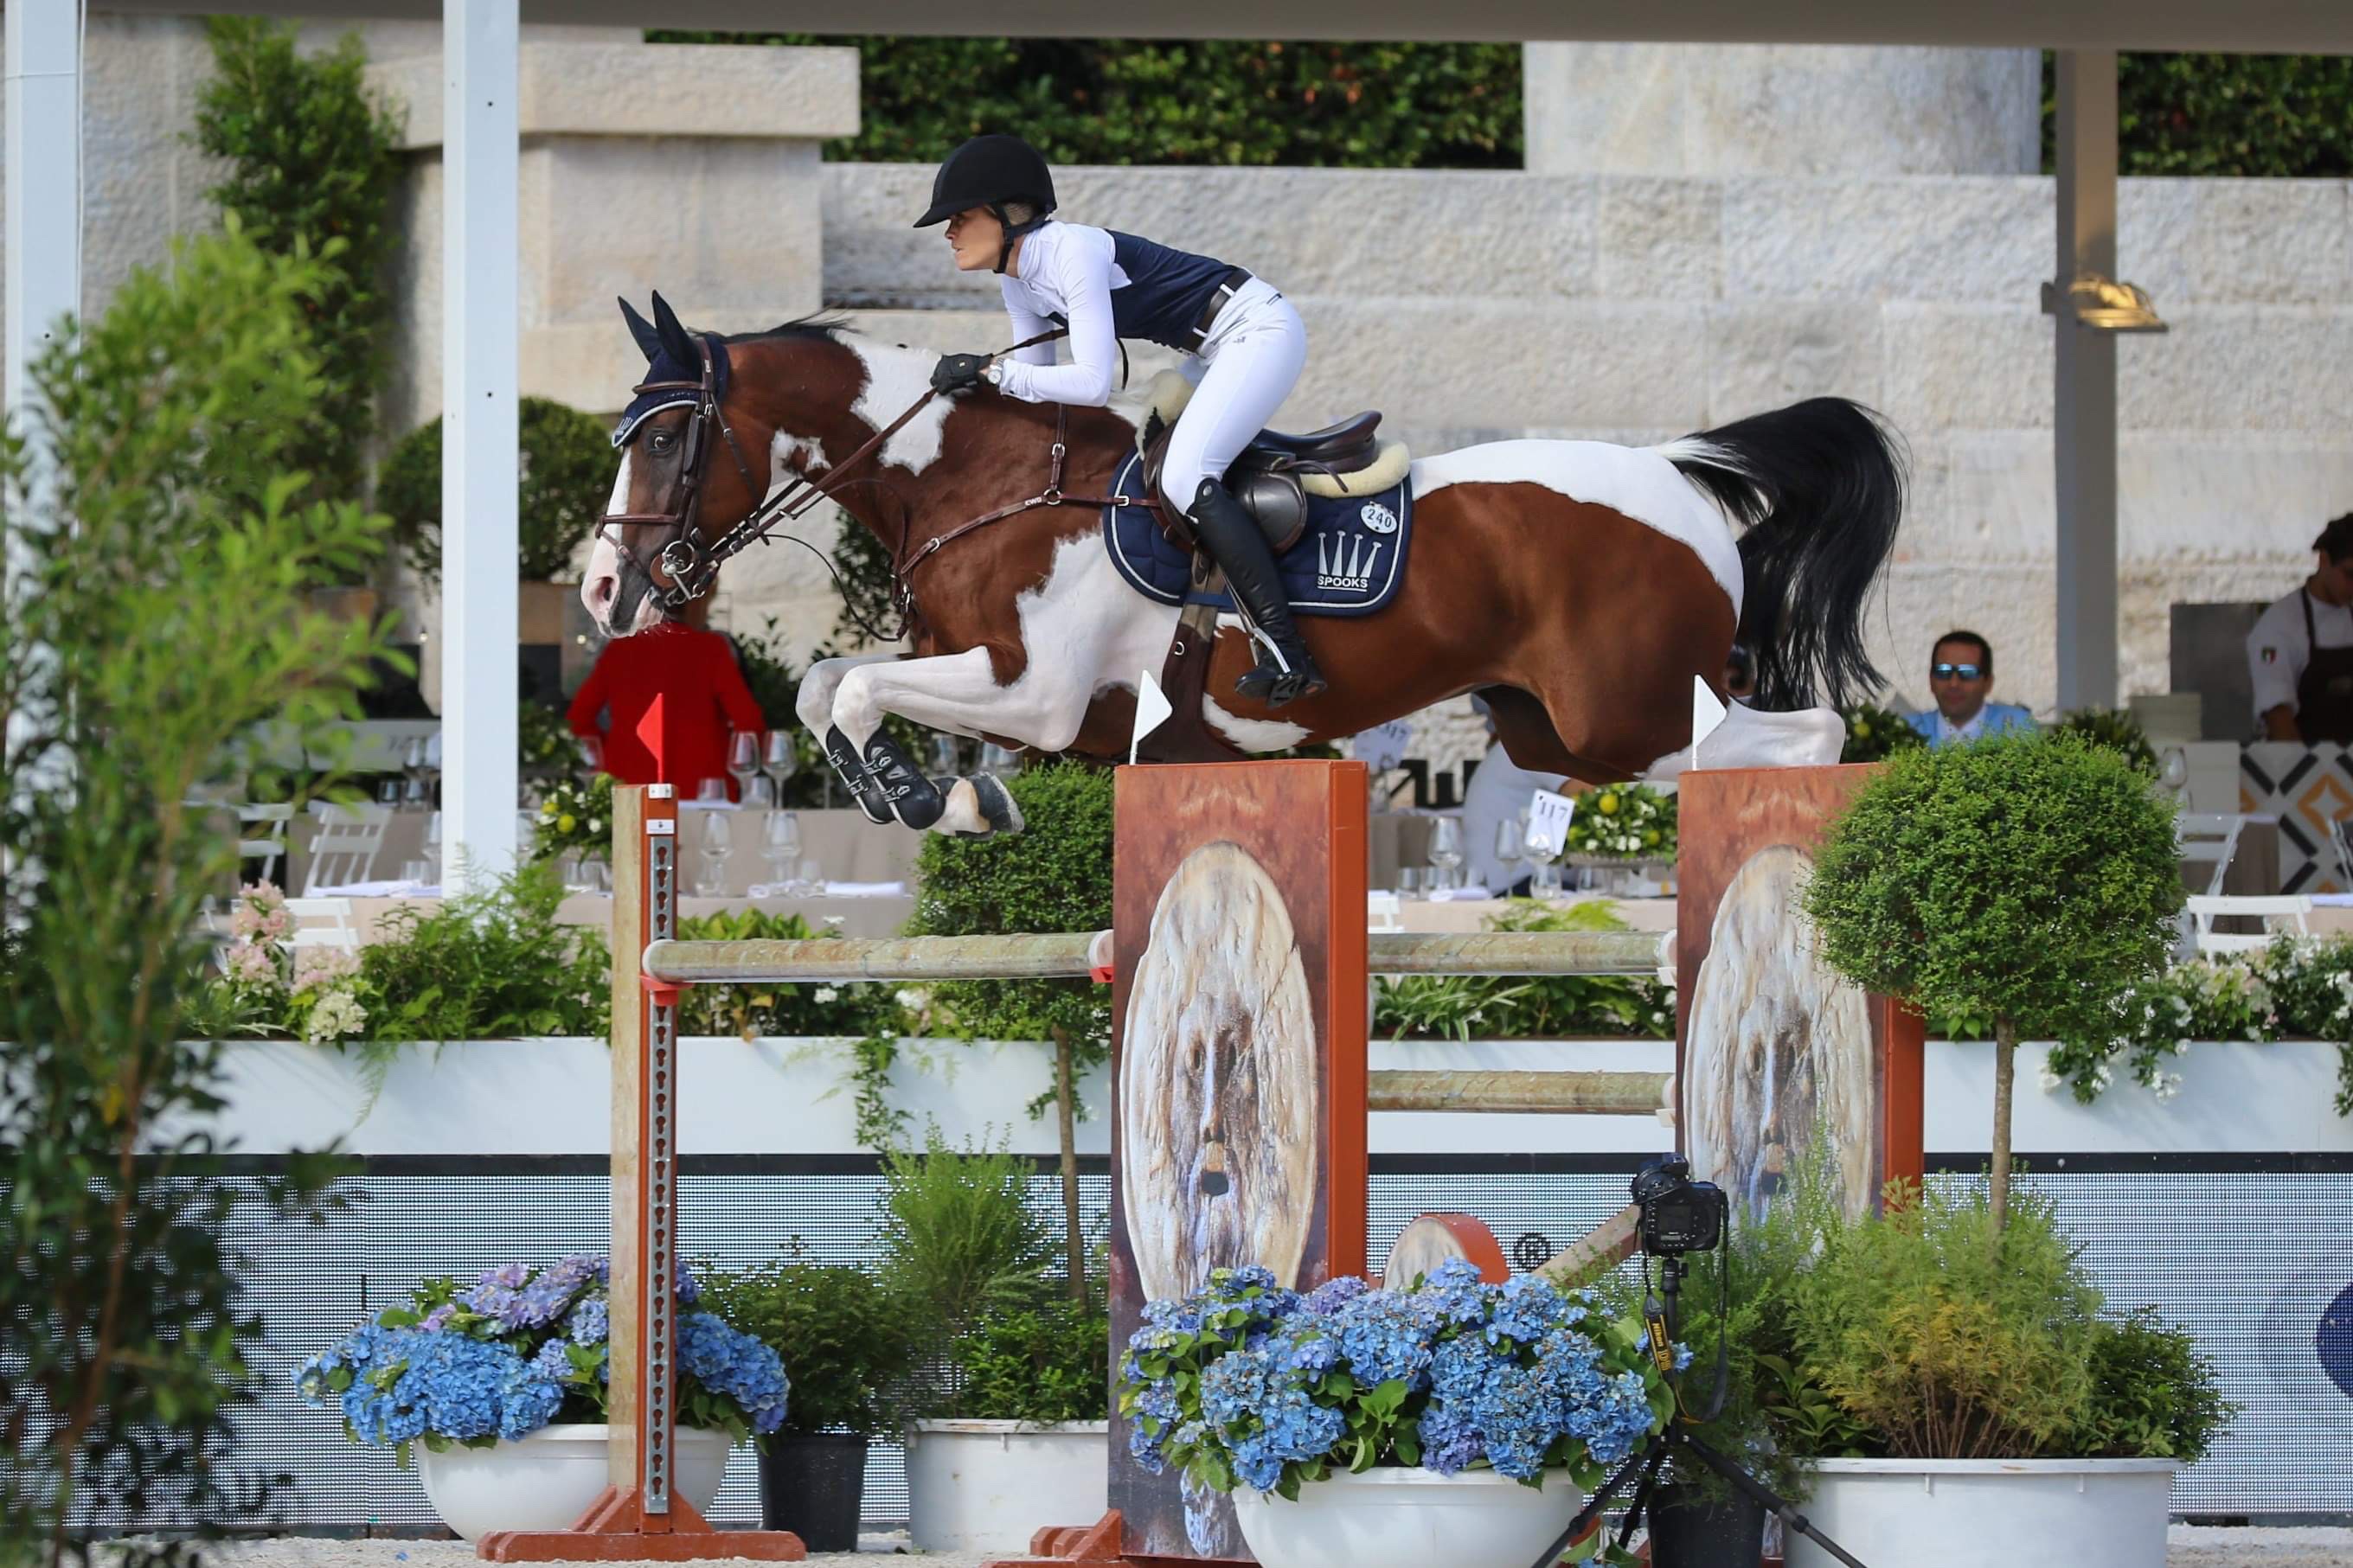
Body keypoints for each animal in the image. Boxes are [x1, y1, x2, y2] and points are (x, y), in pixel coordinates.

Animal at [579, 293, 1901, 832]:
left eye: (670, 441)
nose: (603, 590)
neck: (974, 479)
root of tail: (1679, 471)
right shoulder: (989, 681)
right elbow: (822, 688)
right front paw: (936, 797)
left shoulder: (1037, 695)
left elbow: (850, 687)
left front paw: (922, 797)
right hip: (1553, 728)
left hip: (1633, 712)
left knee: (1812, 737)